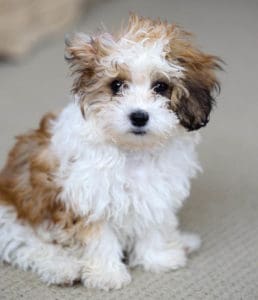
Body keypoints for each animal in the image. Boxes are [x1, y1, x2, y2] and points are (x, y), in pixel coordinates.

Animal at [0, 14, 222, 290]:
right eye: (116, 85)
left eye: (160, 87)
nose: (139, 116)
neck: (133, 151)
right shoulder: (90, 197)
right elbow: (99, 239)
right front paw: (107, 274)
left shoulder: (155, 191)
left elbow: (154, 226)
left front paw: (158, 258)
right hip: (12, 219)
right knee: (30, 247)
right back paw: (62, 268)